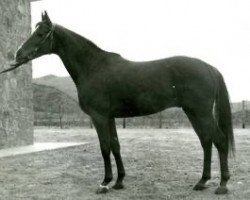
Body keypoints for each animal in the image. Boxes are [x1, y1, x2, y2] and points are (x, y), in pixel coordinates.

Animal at [1, 11, 235, 195]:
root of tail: (209, 68)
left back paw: (222, 185)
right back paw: (202, 182)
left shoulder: (99, 117)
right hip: (193, 113)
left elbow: (105, 146)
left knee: (219, 140)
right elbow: (115, 145)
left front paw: (104, 183)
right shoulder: (110, 117)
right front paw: (119, 181)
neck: (93, 67)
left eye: (40, 33)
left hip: (200, 112)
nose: (18, 54)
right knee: (206, 141)